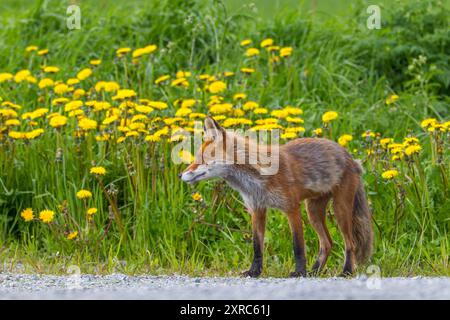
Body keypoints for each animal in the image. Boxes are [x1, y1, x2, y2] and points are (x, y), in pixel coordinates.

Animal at [179, 117, 372, 278]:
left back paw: (346, 272)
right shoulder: (257, 209)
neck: (256, 179)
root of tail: (350, 157)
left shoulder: (291, 208)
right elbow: (257, 247)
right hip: (313, 211)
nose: (180, 175)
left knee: (350, 243)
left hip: (340, 209)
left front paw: (299, 272)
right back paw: (315, 272)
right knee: (327, 243)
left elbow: (298, 246)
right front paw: (254, 272)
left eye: (201, 159)